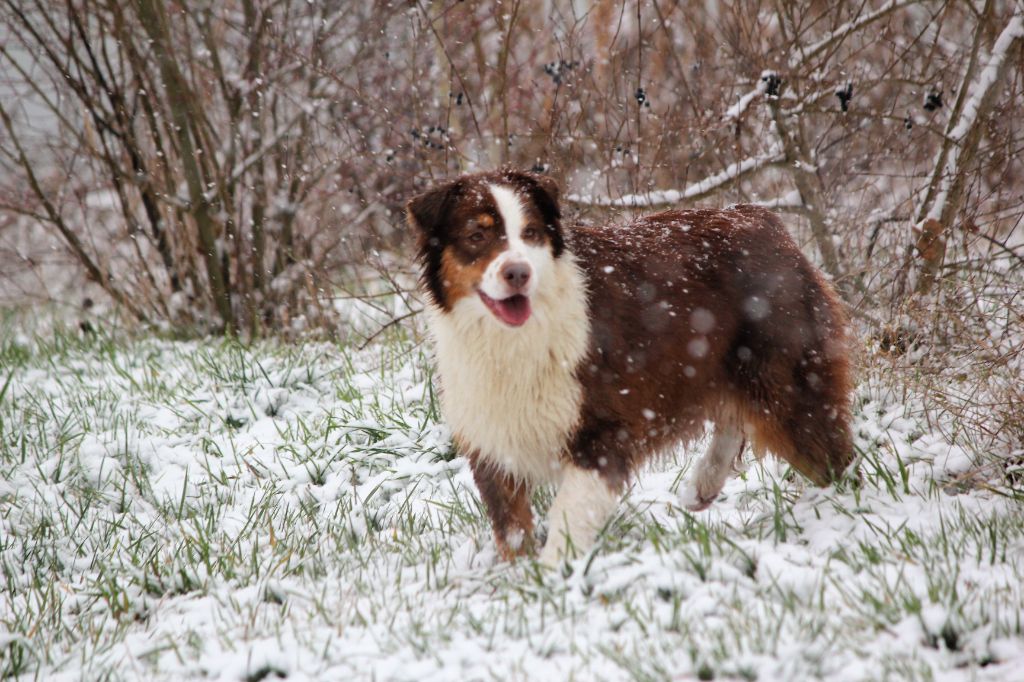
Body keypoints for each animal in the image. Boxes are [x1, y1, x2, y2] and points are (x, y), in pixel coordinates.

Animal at [407, 168, 856, 561]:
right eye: (477, 235)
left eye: (531, 233)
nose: (518, 273)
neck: (512, 338)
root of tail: (761, 217)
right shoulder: (492, 434)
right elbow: (511, 529)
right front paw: (520, 579)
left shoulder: (604, 431)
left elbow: (568, 518)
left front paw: (553, 580)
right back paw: (705, 482)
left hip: (789, 379)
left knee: (832, 456)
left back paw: (840, 516)